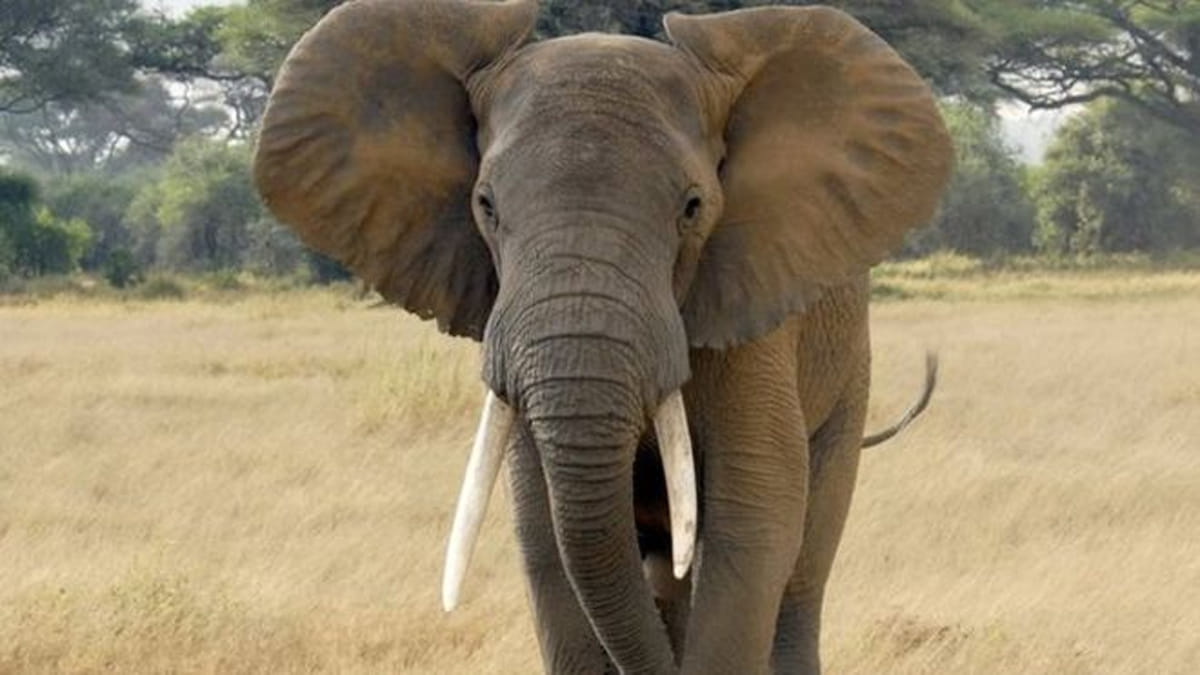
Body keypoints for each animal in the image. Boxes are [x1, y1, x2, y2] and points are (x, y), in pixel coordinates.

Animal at [252, 0, 952, 672]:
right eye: (485, 206)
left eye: (693, 207)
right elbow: (546, 540)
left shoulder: (755, 327)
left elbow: (753, 525)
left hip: (847, 384)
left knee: (801, 576)